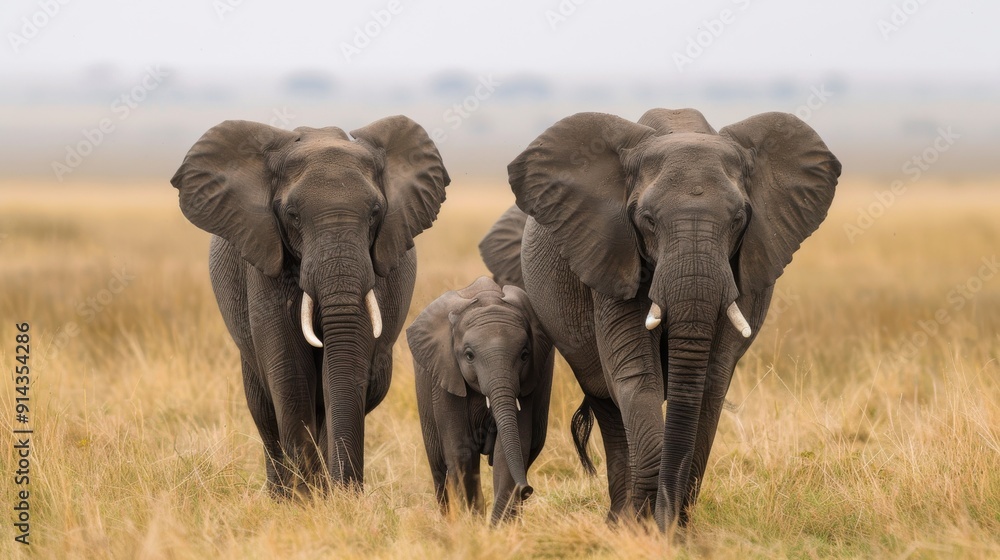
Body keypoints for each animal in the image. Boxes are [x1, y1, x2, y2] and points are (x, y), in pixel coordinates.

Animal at [170, 115, 450, 495]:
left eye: (376, 212)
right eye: (292, 214)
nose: (346, 491)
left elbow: (343, 373)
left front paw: (336, 497)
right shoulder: (266, 256)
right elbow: (289, 371)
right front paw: (307, 498)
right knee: (263, 410)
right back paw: (283, 495)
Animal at [406, 276, 554, 524]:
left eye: (525, 355)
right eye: (469, 356)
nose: (527, 490)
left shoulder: (530, 383)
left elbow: (510, 451)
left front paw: (499, 528)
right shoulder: (446, 376)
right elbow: (460, 451)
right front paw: (470, 525)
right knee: (439, 465)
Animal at [479, 108, 840, 531]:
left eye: (739, 218)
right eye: (648, 220)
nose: (667, 523)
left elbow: (712, 381)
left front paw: (677, 529)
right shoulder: (612, 252)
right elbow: (636, 375)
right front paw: (645, 528)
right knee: (607, 403)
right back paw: (620, 521)